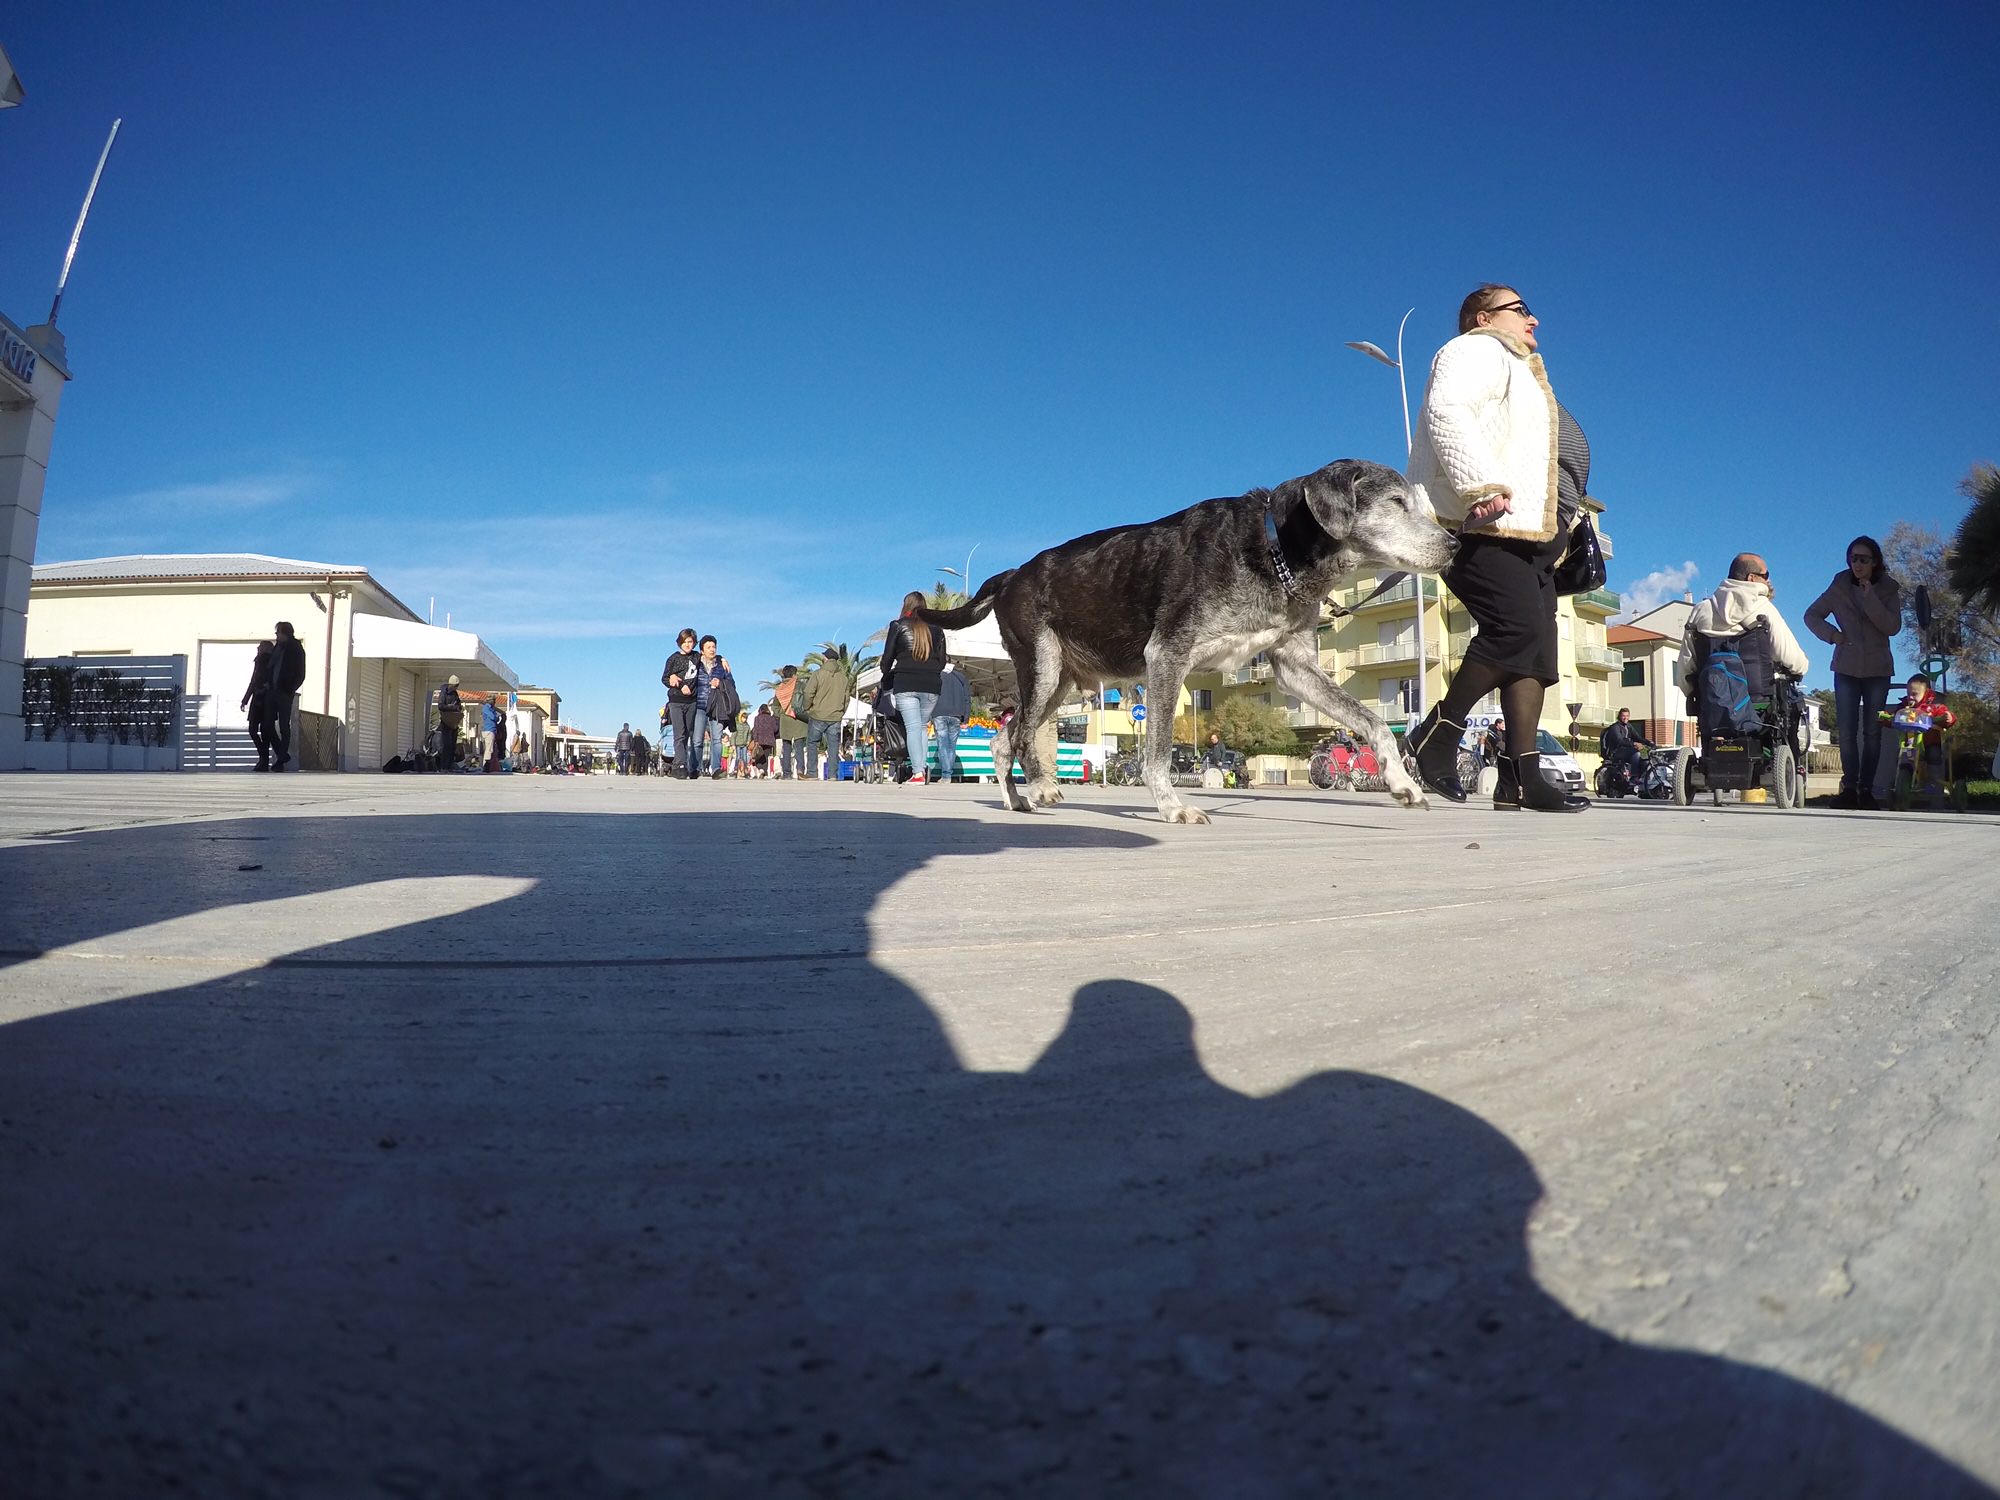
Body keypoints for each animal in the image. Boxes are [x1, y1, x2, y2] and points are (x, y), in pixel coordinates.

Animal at [916, 464, 1456, 828]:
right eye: (1396, 503)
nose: (1454, 545)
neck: (1272, 548)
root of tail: (1010, 575)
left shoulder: (1294, 667)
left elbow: (1373, 723)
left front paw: (1403, 783)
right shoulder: (1167, 658)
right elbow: (1156, 753)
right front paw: (1171, 806)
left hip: (1059, 684)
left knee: (1003, 738)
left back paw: (1021, 798)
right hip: (1043, 669)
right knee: (1020, 736)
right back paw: (1038, 789)